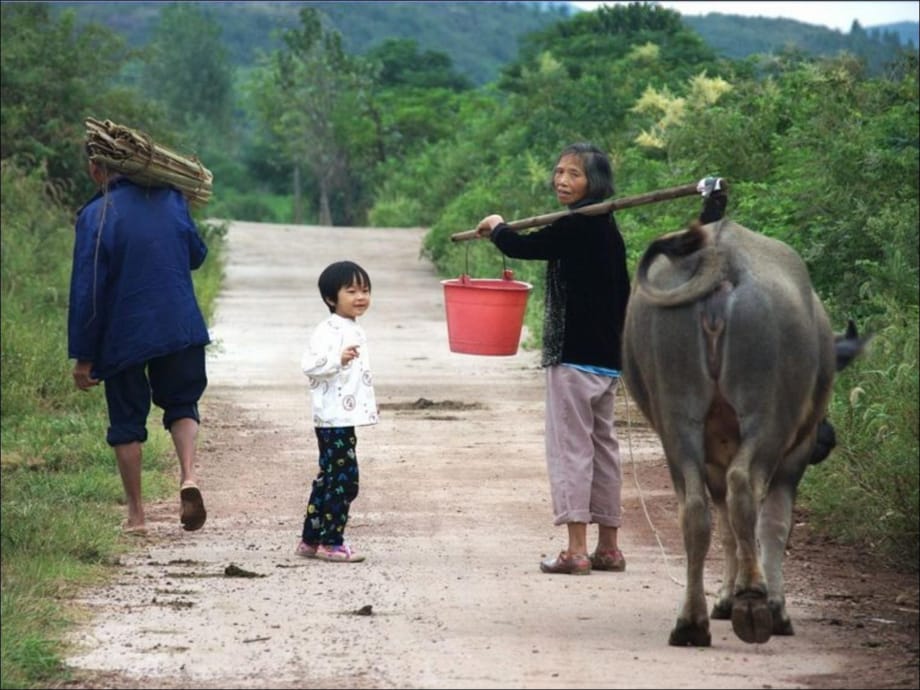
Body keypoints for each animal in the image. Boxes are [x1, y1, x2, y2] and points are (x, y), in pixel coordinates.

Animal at [620, 219, 868, 644]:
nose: (828, 437)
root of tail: (723, 258)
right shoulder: (794, 455)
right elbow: (774, 524)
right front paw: (774, 606)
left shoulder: (712, 459)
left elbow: (726, 530)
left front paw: (723, 598)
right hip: (767, 417)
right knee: (745, 489)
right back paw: (754, 601)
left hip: (676, 419)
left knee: (695, 510)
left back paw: (691, 622)